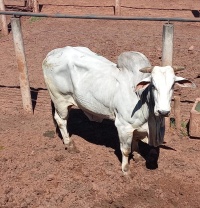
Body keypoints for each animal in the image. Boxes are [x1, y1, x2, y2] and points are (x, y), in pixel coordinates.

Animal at [42, 46, 195, 175]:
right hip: (60, 99)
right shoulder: (123, 126)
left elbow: (135, 141)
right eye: (153, 85)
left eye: (173, 85)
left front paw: (138, 156)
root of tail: (51, 54)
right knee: (61, 120)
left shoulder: (136, 127)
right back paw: (70, 145)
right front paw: (126, 170)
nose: (163, 111)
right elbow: (126, 150)